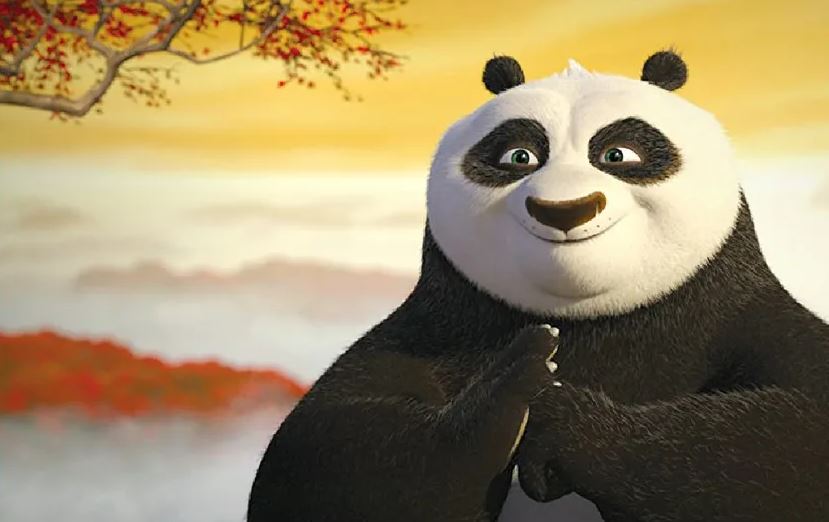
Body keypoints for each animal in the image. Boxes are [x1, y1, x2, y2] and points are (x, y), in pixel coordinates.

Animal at [248, 51, 829, 522]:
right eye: (519, 157)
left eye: (619, 154)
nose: (565, 210)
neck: (587, 317)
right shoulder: (437, 327)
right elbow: (322, 453)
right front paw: (507, 388)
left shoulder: (734, 312)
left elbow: (793, 433)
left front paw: (567, 424)